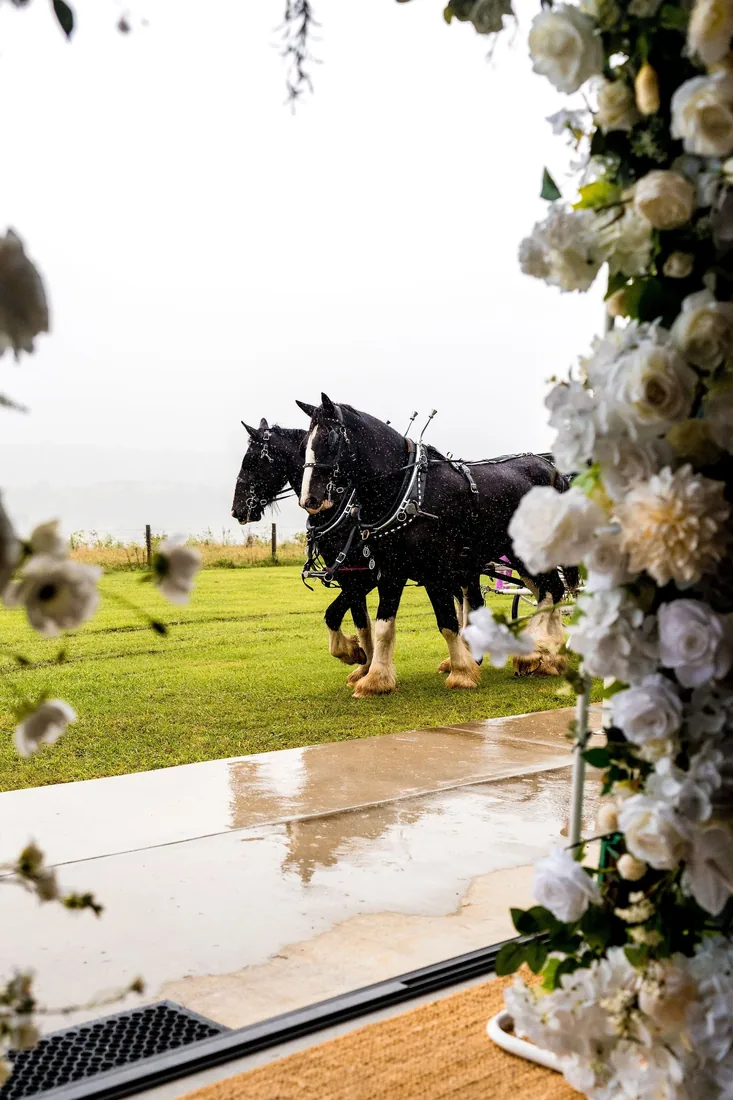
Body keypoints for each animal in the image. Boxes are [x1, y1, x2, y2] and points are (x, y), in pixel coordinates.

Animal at [298, 394, 577, 696]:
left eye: (331, 439)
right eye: (304, 446)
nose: (309, 500)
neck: (407, 489)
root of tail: (550, 468)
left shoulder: (434, 571)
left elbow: (447, 622)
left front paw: (462, 672)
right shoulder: (390, 570)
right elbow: (383, 625)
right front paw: (375, 679)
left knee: (550, 591)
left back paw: (537, 648)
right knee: (550, 592)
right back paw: (551, 656)